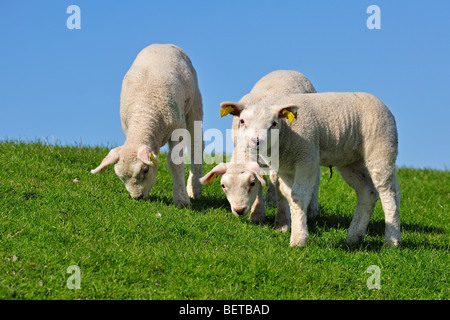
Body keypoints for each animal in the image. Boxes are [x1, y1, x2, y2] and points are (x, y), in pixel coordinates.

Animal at [90, 43, 203, 206]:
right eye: (121, 177)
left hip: (195, 100)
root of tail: (163, 44)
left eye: (145, 171)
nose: (137, 197)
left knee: (196, 144)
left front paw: (181, 199)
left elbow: (175, 163)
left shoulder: (177, 127)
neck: (144, 112)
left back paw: (194, 187)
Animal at [218, 92, 400, 248]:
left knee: (389, 192)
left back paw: (392, 240)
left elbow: (299, 195)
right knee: (367, 192)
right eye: (242, 121)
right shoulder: (285, 167)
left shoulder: (307, 158)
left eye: (274, 124)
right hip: (352, 161)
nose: (256, 142)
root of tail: (382, 104)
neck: (286, 134)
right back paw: (354, 237)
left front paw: (298, 239)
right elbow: (289, 196)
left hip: (381, 148)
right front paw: (297, 228)